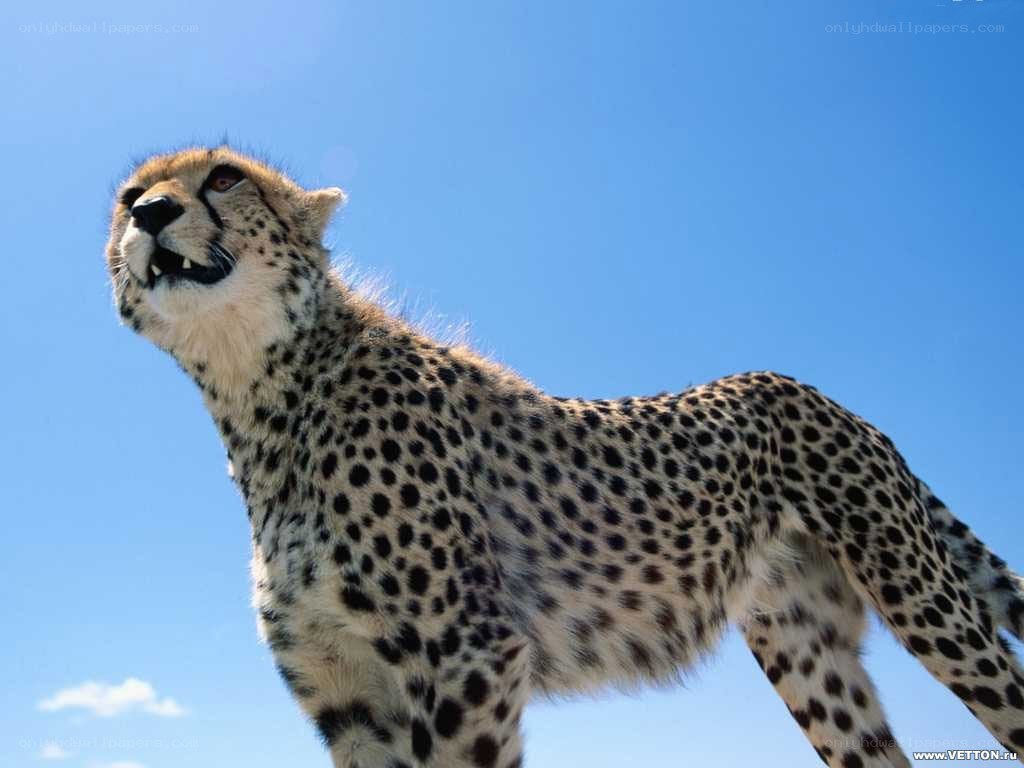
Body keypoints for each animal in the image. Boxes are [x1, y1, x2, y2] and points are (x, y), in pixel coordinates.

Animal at [105, 146, 1024, 767]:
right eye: (127, 196)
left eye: (225, 177)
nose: (150, 214)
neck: (264, 396)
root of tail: (815, 392)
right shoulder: (351, 698)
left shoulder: (467, 654)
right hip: (805, 644)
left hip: (921, 597)